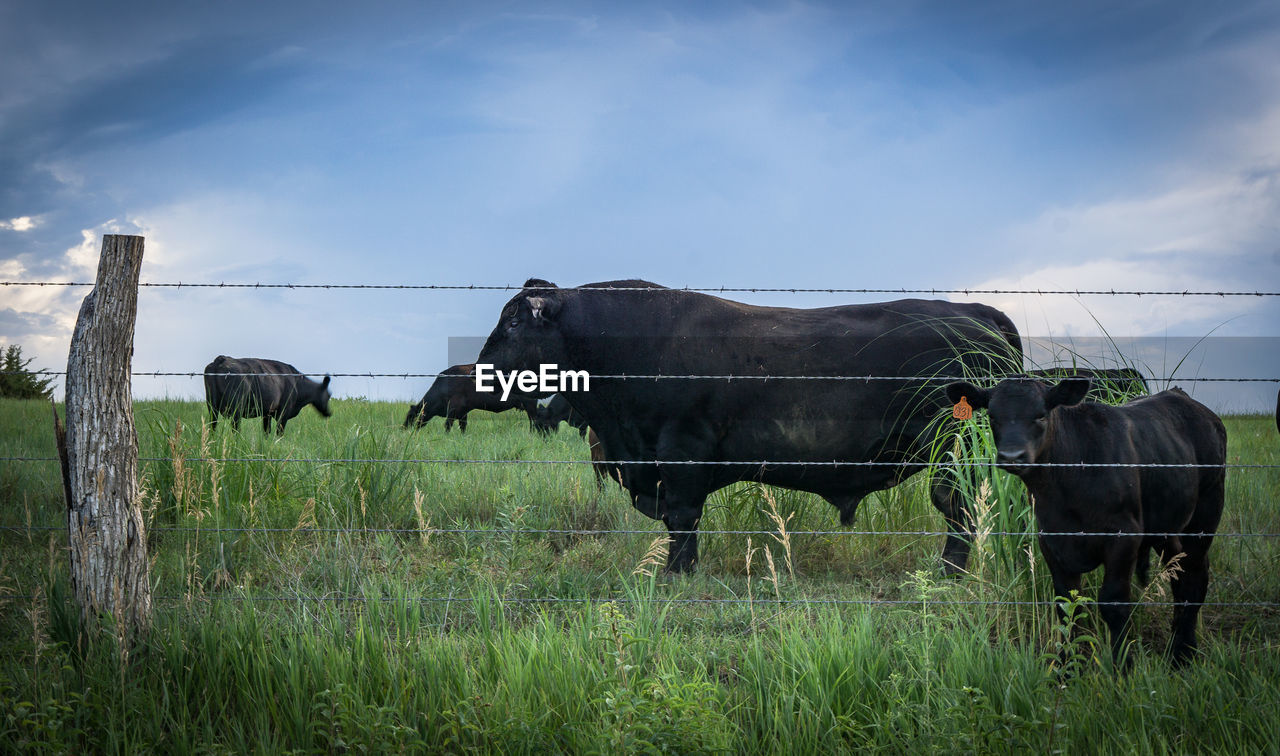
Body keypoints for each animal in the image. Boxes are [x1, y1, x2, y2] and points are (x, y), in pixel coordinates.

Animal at [202, 358, 332, 434]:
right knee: (235, 429)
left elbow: (266, 432)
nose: (329, 413)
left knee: (212, 426)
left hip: (211, 406)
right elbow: (279, 433)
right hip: (236, 408)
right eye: (329, 395)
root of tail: (221, 359)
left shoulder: (267, 413)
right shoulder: (283, 412)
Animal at [401, 365, 537, 434]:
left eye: (411, 416)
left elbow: (448, 425)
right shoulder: (463, 411)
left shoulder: (453, 407)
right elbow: (463, 426)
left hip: (530, 404)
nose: (403, 429)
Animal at [476, 277, 1024, 573]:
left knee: (956, 506)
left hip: (953, 448)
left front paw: (678, 573)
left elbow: (683, 518)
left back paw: (949, 572)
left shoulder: (681, 450)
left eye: (514, 322)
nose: (480, 367)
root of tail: (977, 310)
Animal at [942, 378, 1228, 670]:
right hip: (1167, 525)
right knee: (1178, 573)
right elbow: (1067, 605)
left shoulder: (1124, 537)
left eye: (1040, 415)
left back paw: (1183, 653)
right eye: (992, 417)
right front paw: (1067, 667)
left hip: (1205, 512)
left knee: (1195, 575)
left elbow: (1113, 603)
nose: (1012, 456)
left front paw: (1122, 665)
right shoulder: (1051, 540)